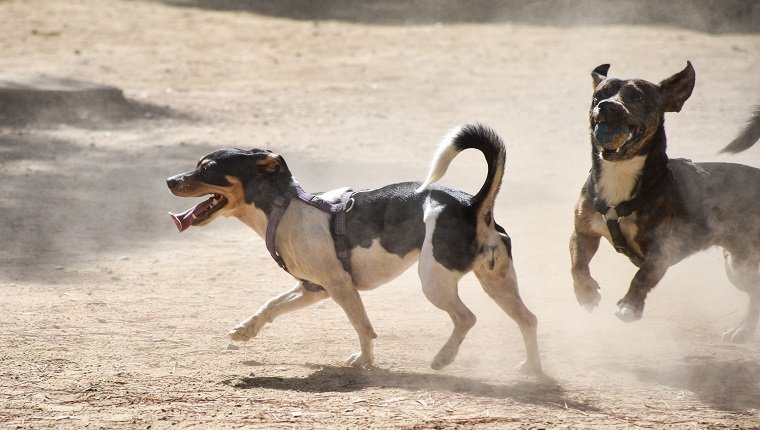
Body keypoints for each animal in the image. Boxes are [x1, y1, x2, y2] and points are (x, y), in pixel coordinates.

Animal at [169, 124, 544, 372]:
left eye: (208, 168)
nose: (170, 180)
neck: (282, 207)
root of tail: (471, 205)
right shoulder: (314, 288)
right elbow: (272, 305)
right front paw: (246, 329)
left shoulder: (340, 287)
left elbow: (363, 327)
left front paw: (364, 360)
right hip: (497, 281)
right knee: (529, 318)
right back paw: (532, 368)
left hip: (434, 280)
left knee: (467, 318)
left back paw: (443, 358)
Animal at [568, 61, 760, 342]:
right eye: (599, 95)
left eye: (637, 97)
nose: (607, 106)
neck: (621, 173)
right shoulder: (584, 232)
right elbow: (577, 264)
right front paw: (586, 292)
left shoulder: (662, 249)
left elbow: (642, 276)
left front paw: (630, 306)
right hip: (738, 267)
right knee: (755, 295)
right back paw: (743, 330)